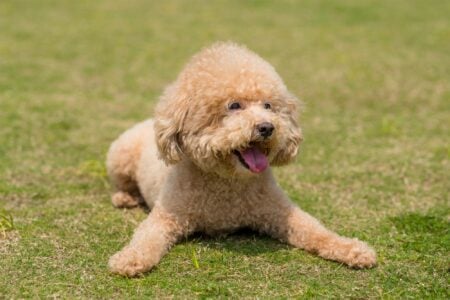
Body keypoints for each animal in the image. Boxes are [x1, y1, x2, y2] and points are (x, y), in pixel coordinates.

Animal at [106, 42, 376, 276]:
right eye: (234, 105)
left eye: (268, 106)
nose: (267, 127)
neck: (228, 181)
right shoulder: (167, 216)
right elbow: (146, 237)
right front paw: (129, 259)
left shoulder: (279, 212)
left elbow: (315, 230)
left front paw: (353, 249)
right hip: (119, 156)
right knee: (123, 183)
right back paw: (125, 197)